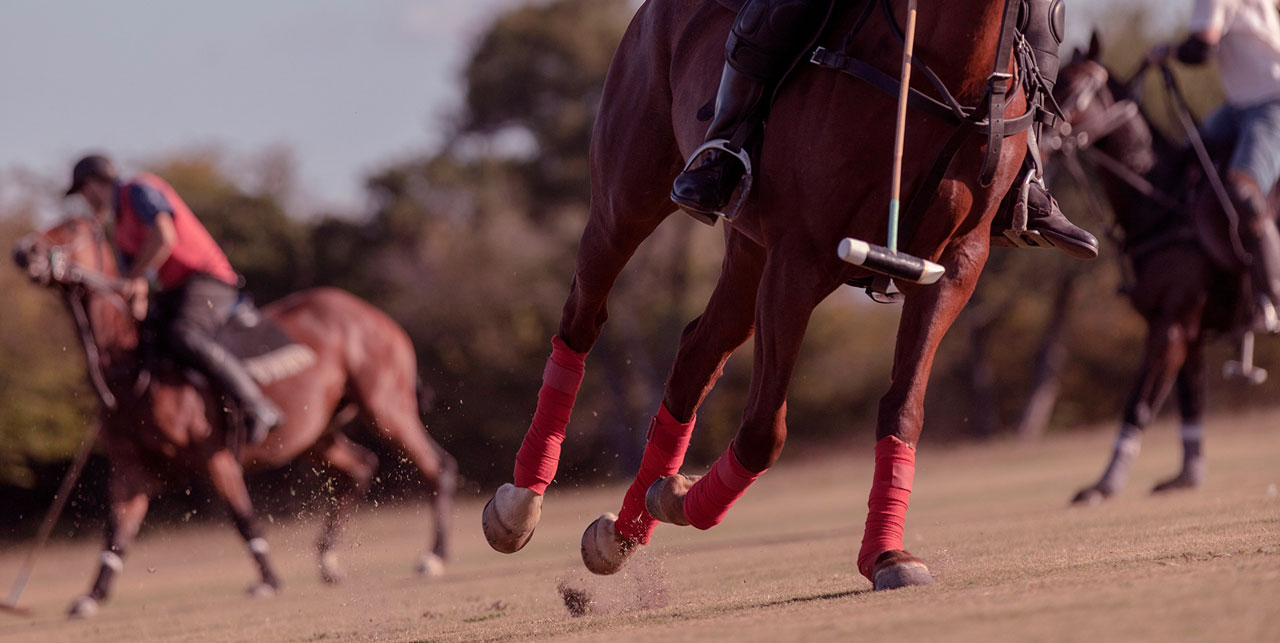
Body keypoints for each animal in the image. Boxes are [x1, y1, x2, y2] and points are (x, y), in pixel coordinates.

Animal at [11, 219, 460, 614]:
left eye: (71, 226)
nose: (23, 251)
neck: (135, 365)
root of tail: (376, 315)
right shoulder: (130, 468)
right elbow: (116, 534)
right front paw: (90, 597)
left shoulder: (217, 456)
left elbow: (243, 518)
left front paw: (268, 581)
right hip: (317, 434)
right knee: (361, 466)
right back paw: (328, 560)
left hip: (387, 407)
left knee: (437, 465)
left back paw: (433, 557)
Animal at [481, 0, 1049, 589]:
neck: (947, 69)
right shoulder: (799, 255)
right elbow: (762, 431)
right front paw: (679, 497)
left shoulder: (957, 262)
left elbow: (903, 409)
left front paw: (887, 556)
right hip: (626, 198)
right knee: (583, 316)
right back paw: (520, 505)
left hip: (748, 250)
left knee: (697, 352)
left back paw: (622, 534)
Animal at [1044, 37, 1274, 504]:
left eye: (1074, 87)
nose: (1037, 133)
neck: (1162, 202)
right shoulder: (1188, 330)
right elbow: (1191, 400)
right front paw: (1186, 476)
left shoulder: (1171, 324)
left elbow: (1139, 404)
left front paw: (1103, 485)